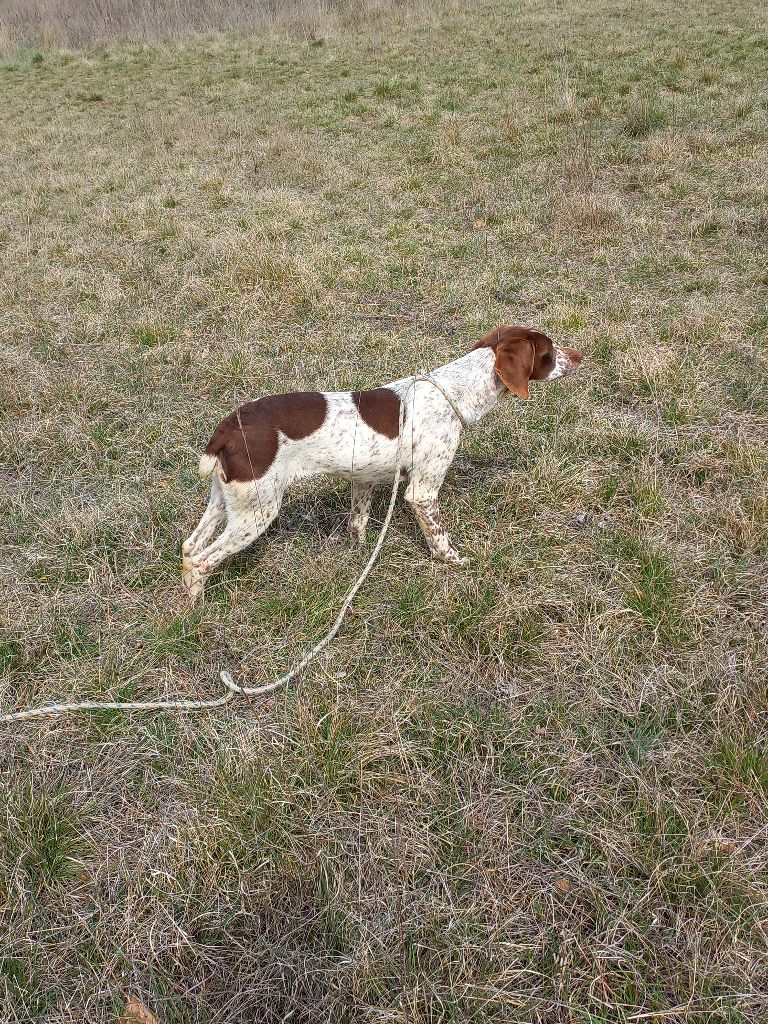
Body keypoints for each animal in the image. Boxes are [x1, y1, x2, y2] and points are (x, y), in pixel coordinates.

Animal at [182, 325, 581, 598]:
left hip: (225, 501)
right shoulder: (422, 492)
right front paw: (454, 562)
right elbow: (439, 538)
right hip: (257, 511)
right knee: (201, 560)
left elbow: (357, 525)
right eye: (550, 351)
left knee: (189, 548)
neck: (453, 393)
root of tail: (227, 429)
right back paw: (196, 612)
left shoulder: (364, 479)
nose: (579, 357)